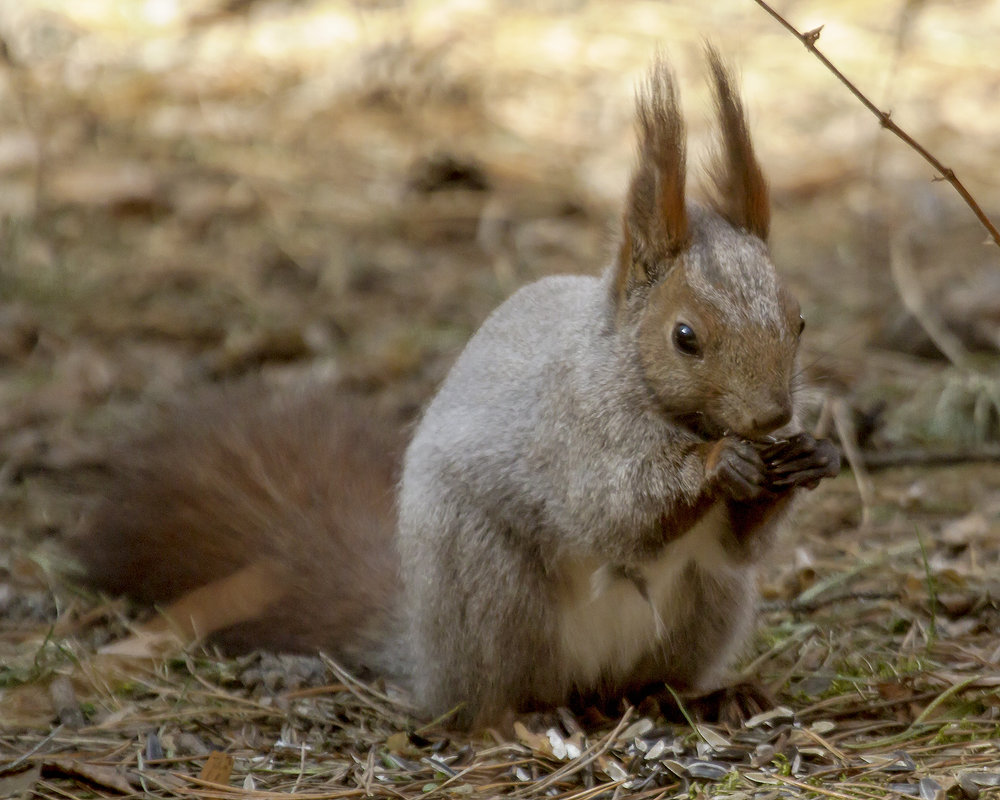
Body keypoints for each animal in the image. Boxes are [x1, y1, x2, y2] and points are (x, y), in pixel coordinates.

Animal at [66, 47, 840, 728]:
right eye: (685, 337)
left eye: (800, 319)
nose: (771, 416)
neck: (635, 375)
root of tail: (426, 652)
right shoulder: (576, 430)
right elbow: (616, 509)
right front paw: (720, 465)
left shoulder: (725, 539)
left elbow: (740, 544)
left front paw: (812, 456)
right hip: (492, 589)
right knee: (484, 702)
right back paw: (528, 716)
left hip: (705, 602)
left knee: (654, 676)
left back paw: (705, 697)